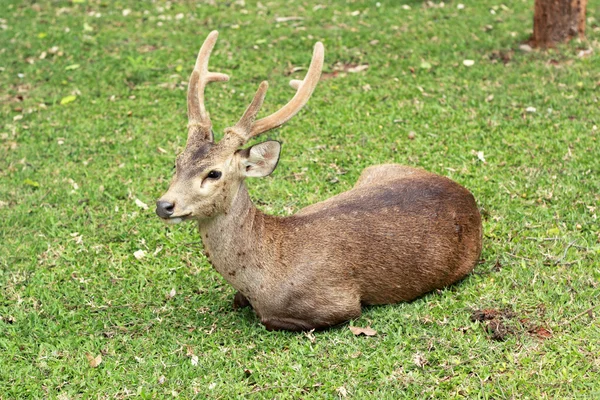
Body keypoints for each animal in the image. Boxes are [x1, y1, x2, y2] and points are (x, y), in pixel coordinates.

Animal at [155, 30, 482, 332]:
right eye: (177, 162)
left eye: (214, 173)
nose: (164, 205)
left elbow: (269, 319)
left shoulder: (339, 302)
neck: (261, 278)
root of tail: (466, 195)